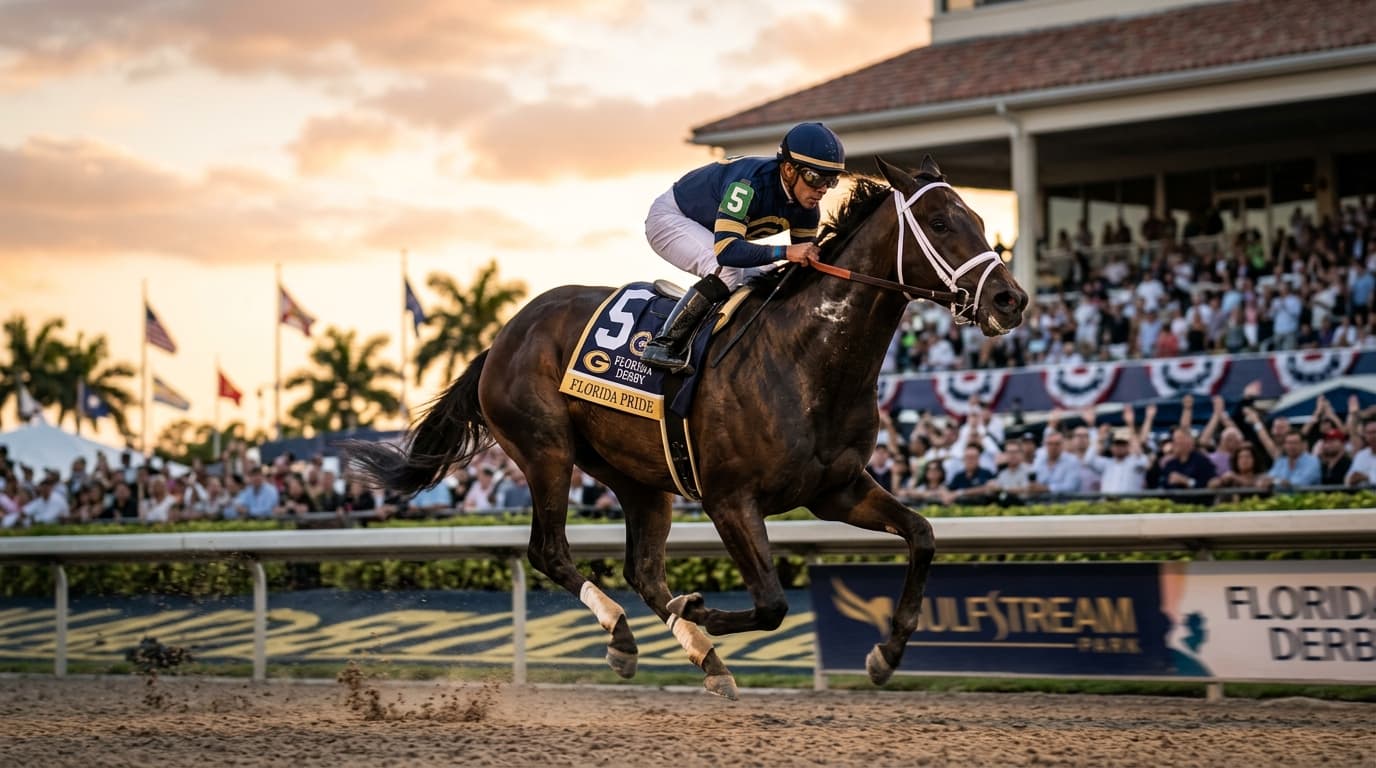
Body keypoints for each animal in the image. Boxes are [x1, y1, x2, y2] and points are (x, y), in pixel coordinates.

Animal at [347, 156, 1029, 699]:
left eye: (977, 217)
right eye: (939, 223)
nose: (1011, 300)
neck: (808, 357)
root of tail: (502, 336)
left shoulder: (835, 489)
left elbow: (922, 535)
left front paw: (887, 653)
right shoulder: (731, 498)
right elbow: (773, 604)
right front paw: (699, 608)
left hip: (640, 478)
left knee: (643, 571)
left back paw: (702, 658)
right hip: (546, 450)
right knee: (550, 550)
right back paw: (624, 635)